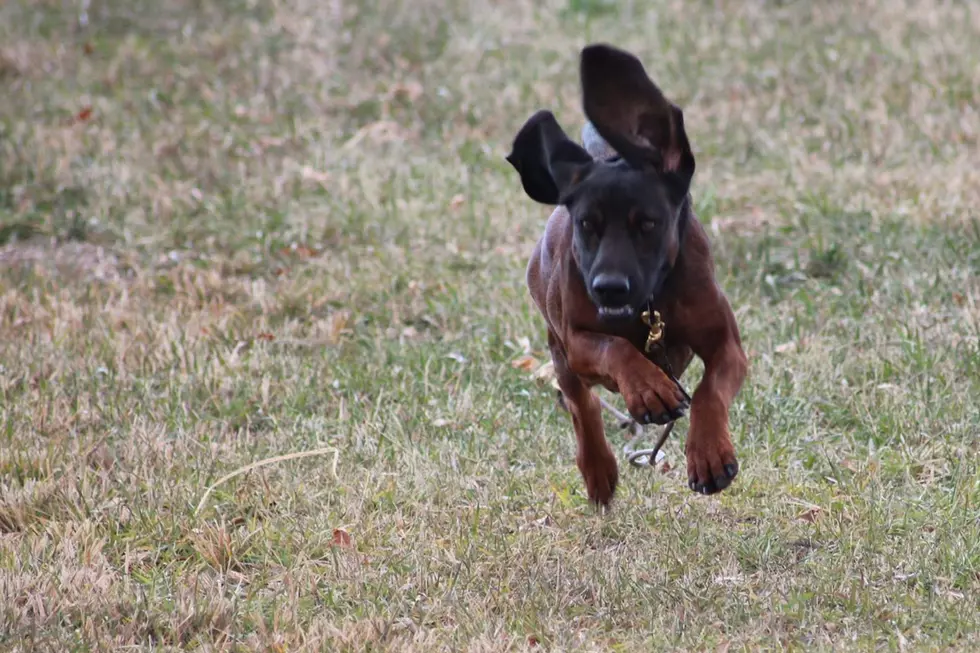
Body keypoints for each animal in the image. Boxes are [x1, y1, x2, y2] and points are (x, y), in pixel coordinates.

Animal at [510, 44, 748, 504]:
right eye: (588, 224)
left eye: (648, 223)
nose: (609, 288)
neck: (648, 307)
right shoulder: (577, 339)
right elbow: (612, 348)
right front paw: (647, 388)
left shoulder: (727, 343)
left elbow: (710, 389)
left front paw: (708, 454)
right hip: (559, 351)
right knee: (581, 406)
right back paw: (598, 469)